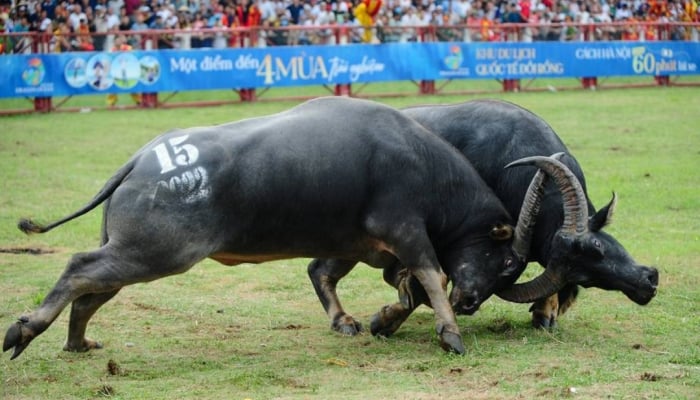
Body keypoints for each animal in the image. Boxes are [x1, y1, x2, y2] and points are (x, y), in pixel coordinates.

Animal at [4, 97, 532, 360]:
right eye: (506, 261)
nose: (472, 302)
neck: (421, 163)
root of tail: (140, 160)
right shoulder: (406, 230)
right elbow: (431, 275)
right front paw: (450, 333)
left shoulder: (376, 246)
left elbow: (405, 283)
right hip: (155, 252)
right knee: (78, 269)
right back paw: (25, 329)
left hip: (134, 252)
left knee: (90, 293)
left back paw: (76, 343)